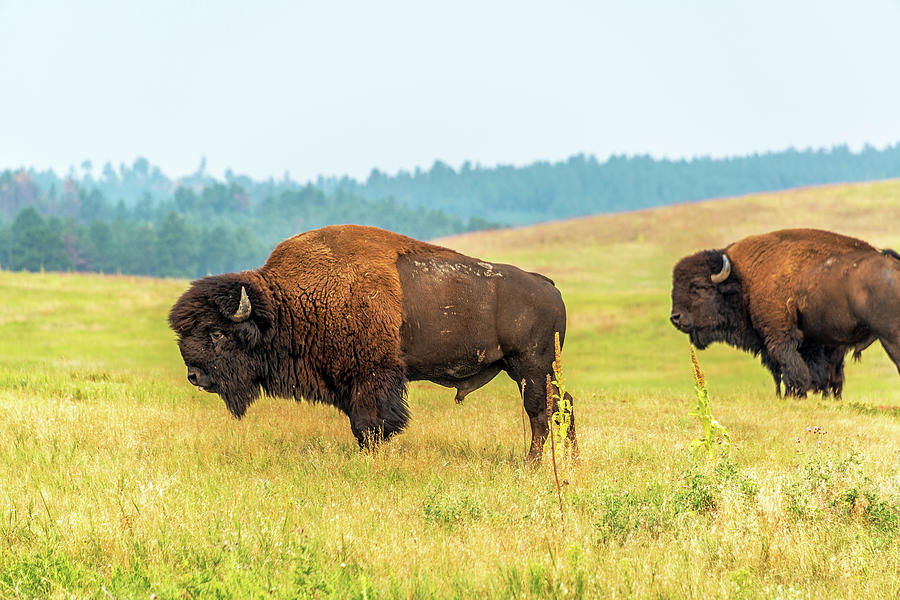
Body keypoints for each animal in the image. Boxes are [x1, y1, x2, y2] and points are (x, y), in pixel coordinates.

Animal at [168, 223, 572, 462]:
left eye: (217, 332)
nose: (194, 375)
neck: (287, 303)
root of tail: (548, 285)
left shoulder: (372, 377)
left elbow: (370, 424)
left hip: (530, 367)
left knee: (542, 411)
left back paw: (533, 465)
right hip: (535, 370)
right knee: (561, 405)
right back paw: (568, 460)